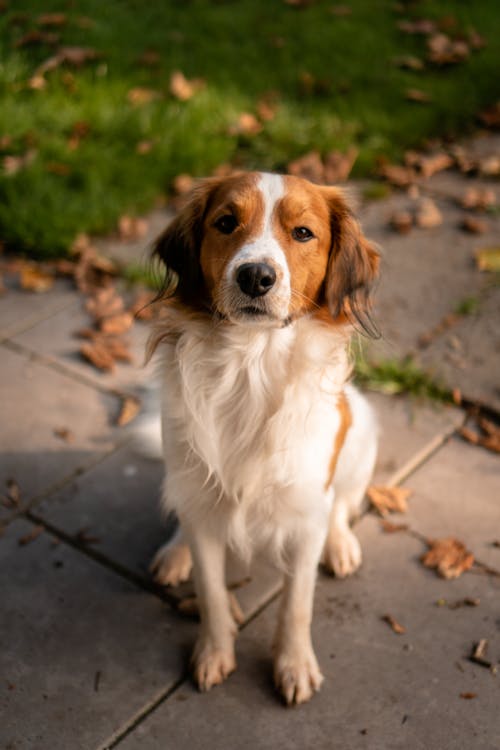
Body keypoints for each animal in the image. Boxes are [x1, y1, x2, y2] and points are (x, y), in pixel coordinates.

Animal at [145, 173, 378, 708]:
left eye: (303, 233)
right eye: (226, 222)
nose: (256, 276)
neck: (251, 368)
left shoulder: (306, 516)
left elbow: (296, 603)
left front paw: (293, 665)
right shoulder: (203, 505)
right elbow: (211, 591)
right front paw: (214, 651)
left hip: (361, 429)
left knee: (343, 504)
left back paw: (341, 545)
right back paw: (174, 553)